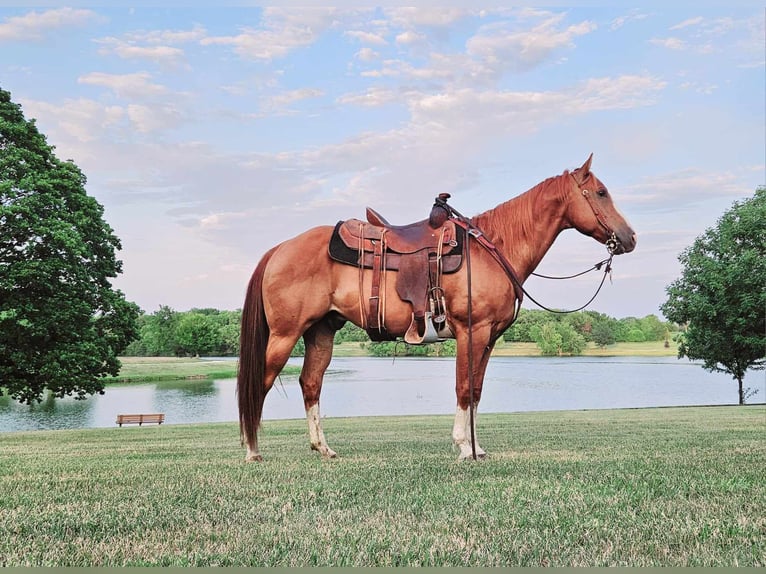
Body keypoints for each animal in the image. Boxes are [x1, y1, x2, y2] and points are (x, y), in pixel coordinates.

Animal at [237, 155, 640, 462]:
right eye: (601, 192)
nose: (631, 237)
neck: (492, 250)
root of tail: (280, 249)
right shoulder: (471, 332)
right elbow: (463, 388)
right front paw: (464, 448)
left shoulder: (488, 338)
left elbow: (475, 390)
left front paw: (476, 447)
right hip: (285, 334)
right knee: (262, 381)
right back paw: (252, 451)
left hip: (320, 332)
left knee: (311, 383)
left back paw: (323, 448)